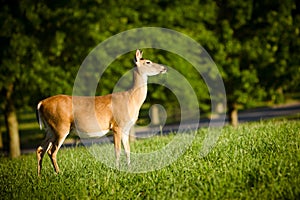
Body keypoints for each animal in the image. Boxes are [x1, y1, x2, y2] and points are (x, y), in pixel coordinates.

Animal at [36, 49, 168, 175]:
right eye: (148, 62)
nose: (164, 68)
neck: (131, 99)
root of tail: (41, 103)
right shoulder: (116, 125)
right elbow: (117, 150)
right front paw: (117, 170)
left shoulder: (126, 128)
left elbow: (127, 150)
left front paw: (129, 169)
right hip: (61, 126)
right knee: (51, 151)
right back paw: (59, 173)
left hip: (50, 128)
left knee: (40, 149)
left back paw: (39, 176)